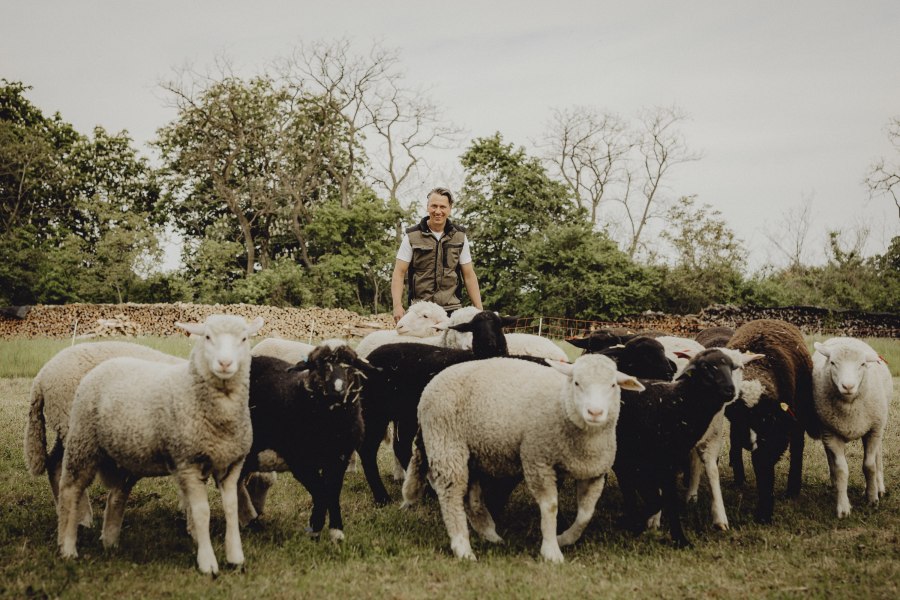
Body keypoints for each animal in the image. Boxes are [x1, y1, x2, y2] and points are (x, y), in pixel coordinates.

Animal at [57, 312, 264, 576]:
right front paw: (207, 562)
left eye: (244, 338)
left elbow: (230, 509)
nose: (225, 363)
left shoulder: (231, 464)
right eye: (207, 337)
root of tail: (106, 364)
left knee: (116, 496)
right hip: (83, 442)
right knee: (70, 491)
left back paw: (110, 543)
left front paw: (235, 558)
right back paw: (67, 547)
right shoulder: (188, 462)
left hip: (127, 456)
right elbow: (202, 512)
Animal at [404, 354, 644, 560]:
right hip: (447, 442)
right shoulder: (537, 460)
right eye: (576, 383)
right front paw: (551, 550)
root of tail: (435, 380)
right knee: (451, 494)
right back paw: (462, 547)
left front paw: (565, 539)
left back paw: (490, 534)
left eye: (613, 385)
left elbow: (586, 514)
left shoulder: (594, 472)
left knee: (471, 498)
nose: (595, 412)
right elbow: (550, 507)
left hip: (474, 453)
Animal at [812, 336, 888, 516]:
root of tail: (844, 337)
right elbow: (841, 470)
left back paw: (880, 487)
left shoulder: (873, 430)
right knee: (830, 457)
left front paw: (872, 498)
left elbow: (869, 465)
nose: (848, 386)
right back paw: (833, 482)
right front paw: (843, 507)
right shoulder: (831, 433)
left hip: (878, 425)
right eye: (833, 362)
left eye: (862, 364)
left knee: (878, 456)